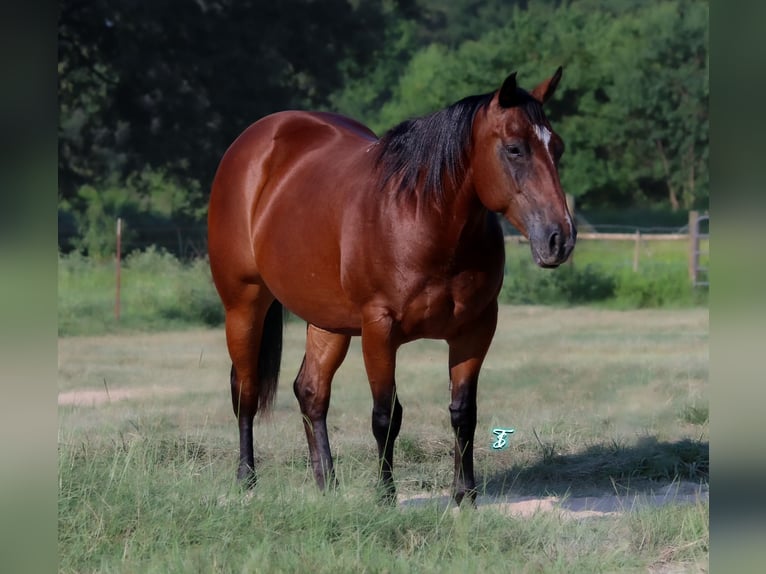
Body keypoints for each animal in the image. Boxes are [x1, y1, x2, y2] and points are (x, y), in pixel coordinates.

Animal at [208, 68, 576, 508]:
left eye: (557, 147)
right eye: (515, 149)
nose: (559, 239)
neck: (423, 219)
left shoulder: (475, 329)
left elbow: (463, 412)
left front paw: (465, 494)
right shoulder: (379, 330)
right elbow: (386, 414)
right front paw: (385, 495)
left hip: (328, 321)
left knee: (311, 391)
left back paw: (327, 484)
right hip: (244, 304)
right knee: (245, 389)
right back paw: (246, 479)